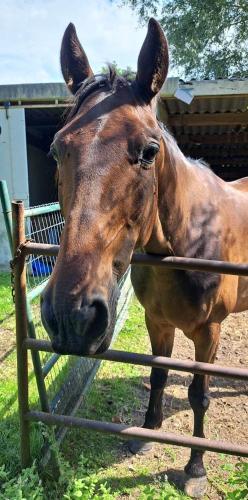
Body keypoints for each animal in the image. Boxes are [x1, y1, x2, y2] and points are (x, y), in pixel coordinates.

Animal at [41, 18, 248, 496]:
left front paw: (195, 468)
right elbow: (157, 374)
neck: (184, 242)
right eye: (57, 149)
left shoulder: (209, 334)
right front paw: (148, 433)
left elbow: (199, 395)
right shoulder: (158, 320)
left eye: (150, 151)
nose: (72, 315)